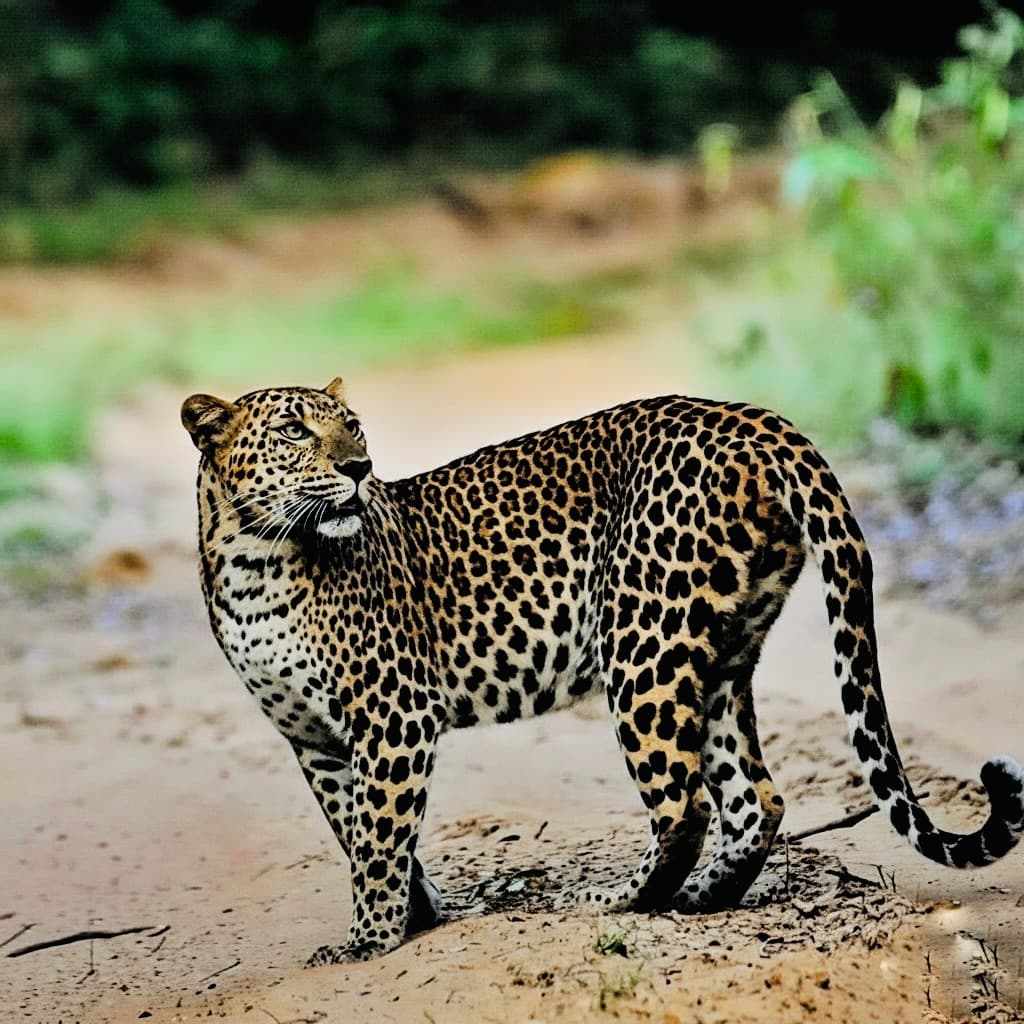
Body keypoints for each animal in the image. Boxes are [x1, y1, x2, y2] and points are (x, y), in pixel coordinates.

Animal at [181, 377, 1024, 965]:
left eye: (351, 426)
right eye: (295, 430)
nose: (358, 466)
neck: (255, 566)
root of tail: (756, 420)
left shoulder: (393, 717)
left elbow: (382, 836)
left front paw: (372, 939)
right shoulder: (313, 739)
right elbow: (356, 831)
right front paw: (416, 916)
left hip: (641, 640)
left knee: (685, 803)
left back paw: (617, 901)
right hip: (720, 655)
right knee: (754, 797)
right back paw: (698, 900)